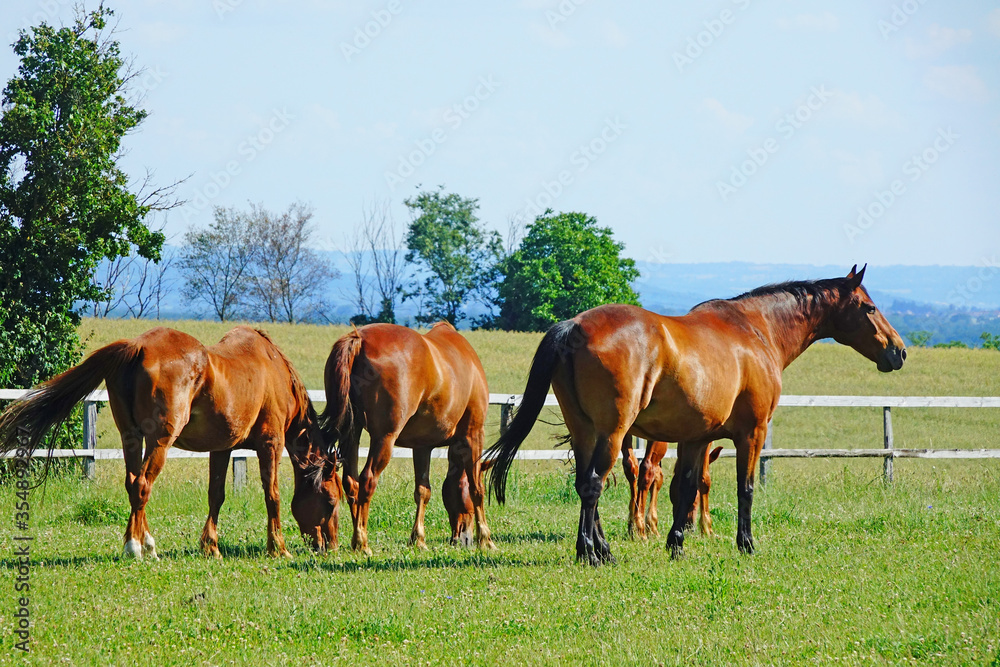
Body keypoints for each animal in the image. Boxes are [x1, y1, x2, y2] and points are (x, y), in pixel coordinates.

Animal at [0, 326, 338, 559]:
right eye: (332, 500)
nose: (330, 546)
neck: (273, 370)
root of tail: (137, 346)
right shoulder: (271, 445)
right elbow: (273, 496)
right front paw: (278, 547)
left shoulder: (221, 449)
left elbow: (216, 496)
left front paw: (210, 547)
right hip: (160, 441)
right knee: (142, 485)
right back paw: (136, 547)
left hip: (132, 438)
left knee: (133, 483)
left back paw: (144, 543)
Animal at [316, 322, 494, 555]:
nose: (462, 539)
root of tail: (359, 339)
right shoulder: (473, 436)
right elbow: (477, 489)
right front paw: (486, 538)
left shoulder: (422, 446)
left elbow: (423, 491)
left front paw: (418, 539)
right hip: (384, 438)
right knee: (367, 480)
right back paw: (362, 542)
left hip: (352, 432)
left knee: (351, 482)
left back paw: (356, 540)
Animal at [487, 266, 905, 565]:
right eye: (869, 307)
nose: (898, 351)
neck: (756, 329)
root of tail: (573, 325)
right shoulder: (752, 433)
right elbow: (745, 488)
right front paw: (746, 544)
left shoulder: (696, 438)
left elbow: (684, 489)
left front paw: (676, 545)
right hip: (613, 432)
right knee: (592, 484)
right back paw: (591, 551)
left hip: (584, 431)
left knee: (584, 483)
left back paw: (600, 549)